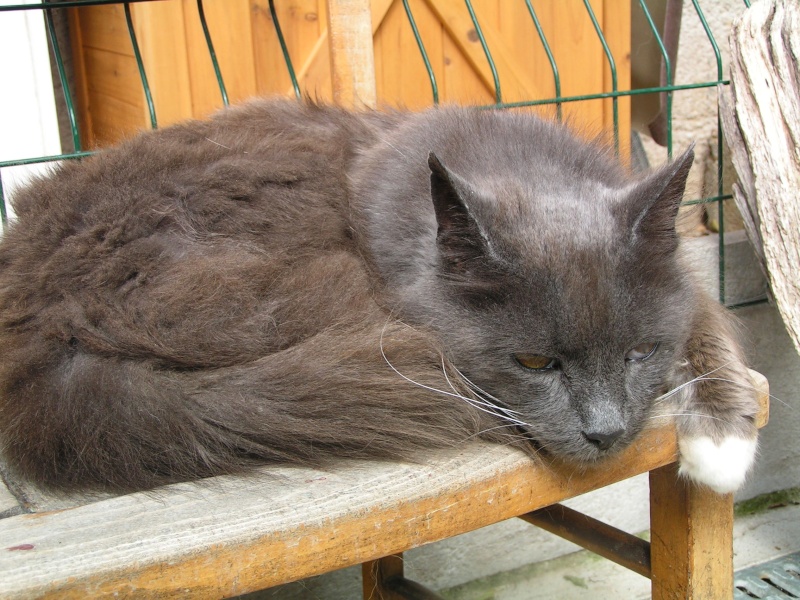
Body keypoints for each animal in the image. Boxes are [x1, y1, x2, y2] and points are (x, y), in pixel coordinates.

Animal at [0, 99, 760, 492]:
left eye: (641, 353)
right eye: (535, 364)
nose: (605, 432)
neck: (520, 165)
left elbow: (707, 316)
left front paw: (723, 434)